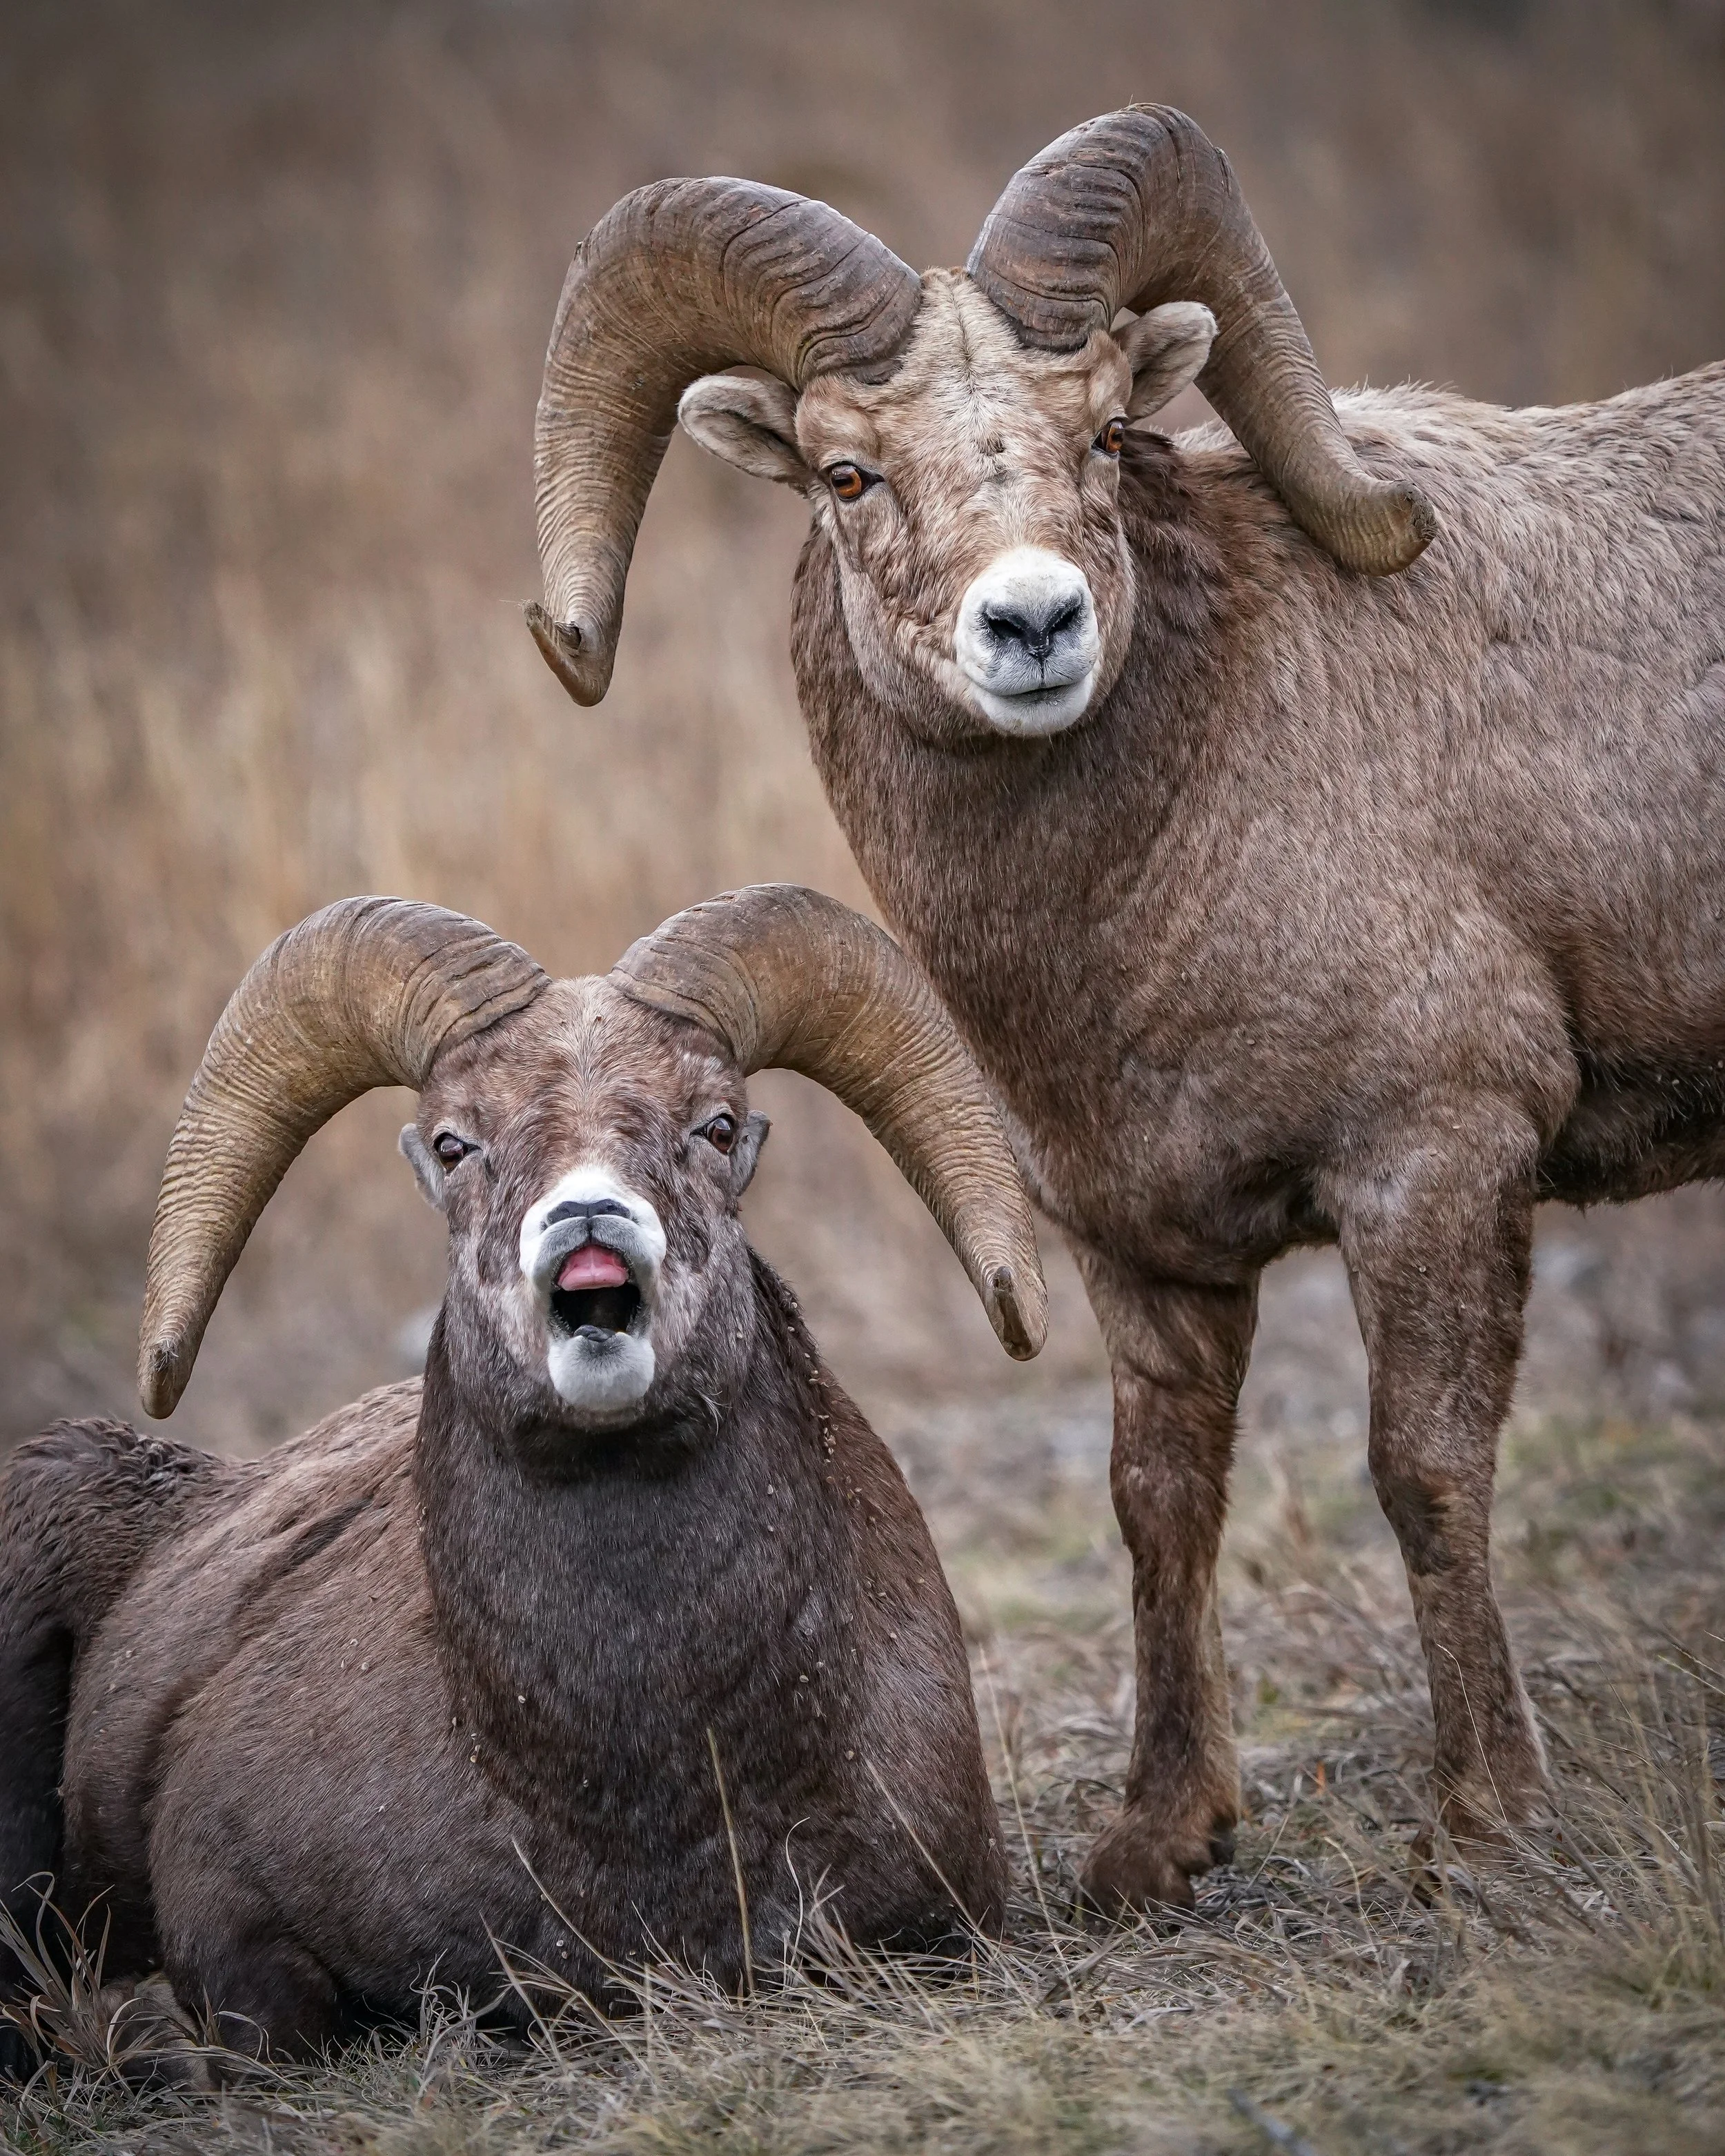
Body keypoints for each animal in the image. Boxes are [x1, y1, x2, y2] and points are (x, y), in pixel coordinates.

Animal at [523, 104, 1725, 1911]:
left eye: (1097, 436)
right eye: (846, 472)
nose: (1032, 623)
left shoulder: (1433, 1165)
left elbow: (1423, 1470)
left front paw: (1479, 1814)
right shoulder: (1137, 1250)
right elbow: (1158, 1502)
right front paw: (1160, 1839)